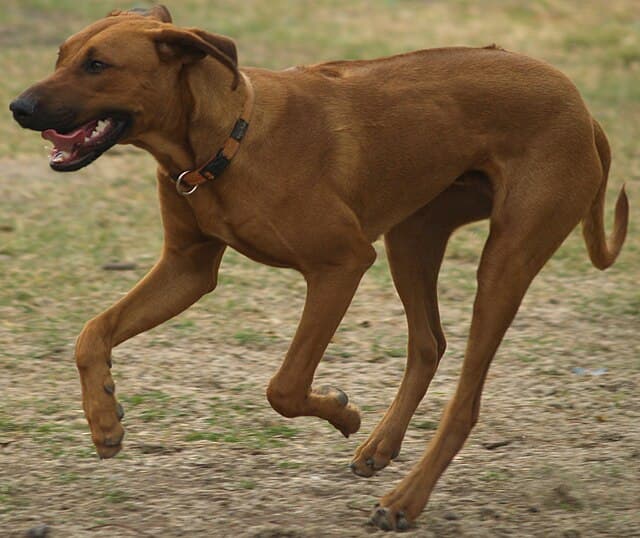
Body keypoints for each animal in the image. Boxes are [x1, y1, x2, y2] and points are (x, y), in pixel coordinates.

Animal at [11, 4, 632, 528]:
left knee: (465, 402)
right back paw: (381, 447)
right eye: (61, 56)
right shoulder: (187, 270)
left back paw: (404, 500)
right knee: (428, 344)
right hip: (413, 236)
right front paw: (104, 418)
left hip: (504, 260)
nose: (19, 107)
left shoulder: (341, 264)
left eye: (98, 65)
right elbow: (92, 334)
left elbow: (284, 387)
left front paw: (341, 412)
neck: (227, 139)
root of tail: (585, 111)